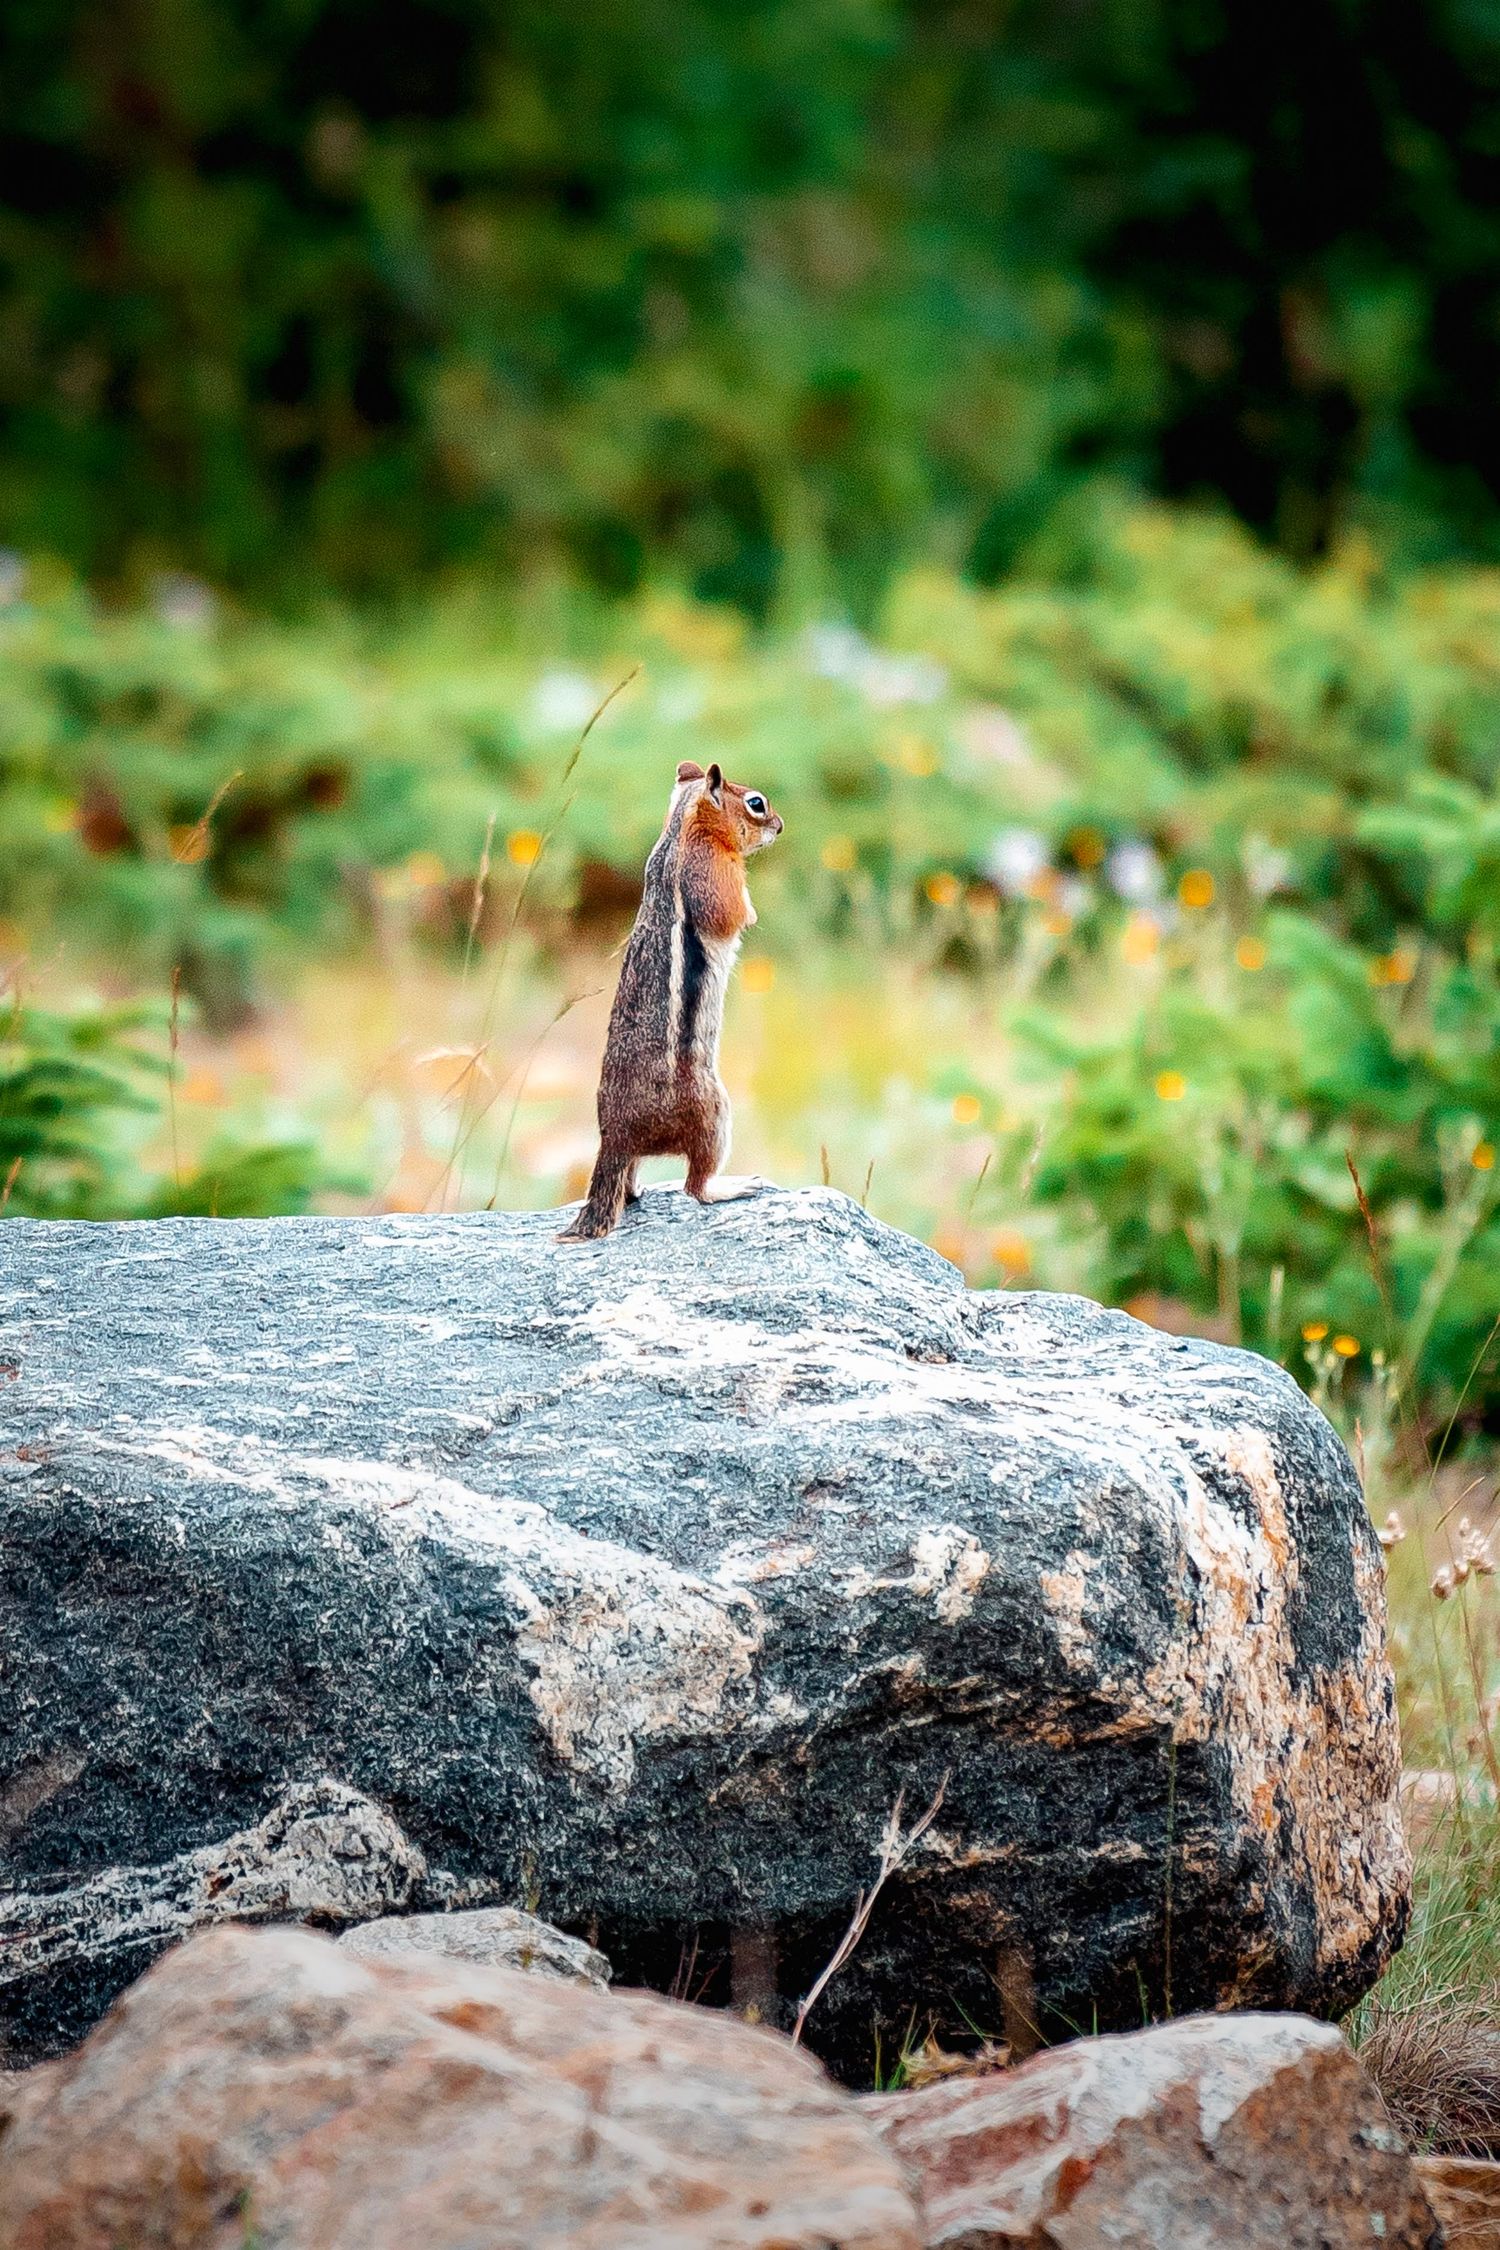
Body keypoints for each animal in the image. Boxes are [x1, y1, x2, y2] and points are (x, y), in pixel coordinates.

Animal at [559, 759, 783, 1240]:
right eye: (756, 803)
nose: (780, 825)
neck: (680, 831)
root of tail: (614, 1136)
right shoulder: (711, 873)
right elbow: (733, 913)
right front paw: (751, 911)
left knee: (631, 1181)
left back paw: (635, 1190)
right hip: (713, 1111)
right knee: (693, 1186)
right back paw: (731, 1187)